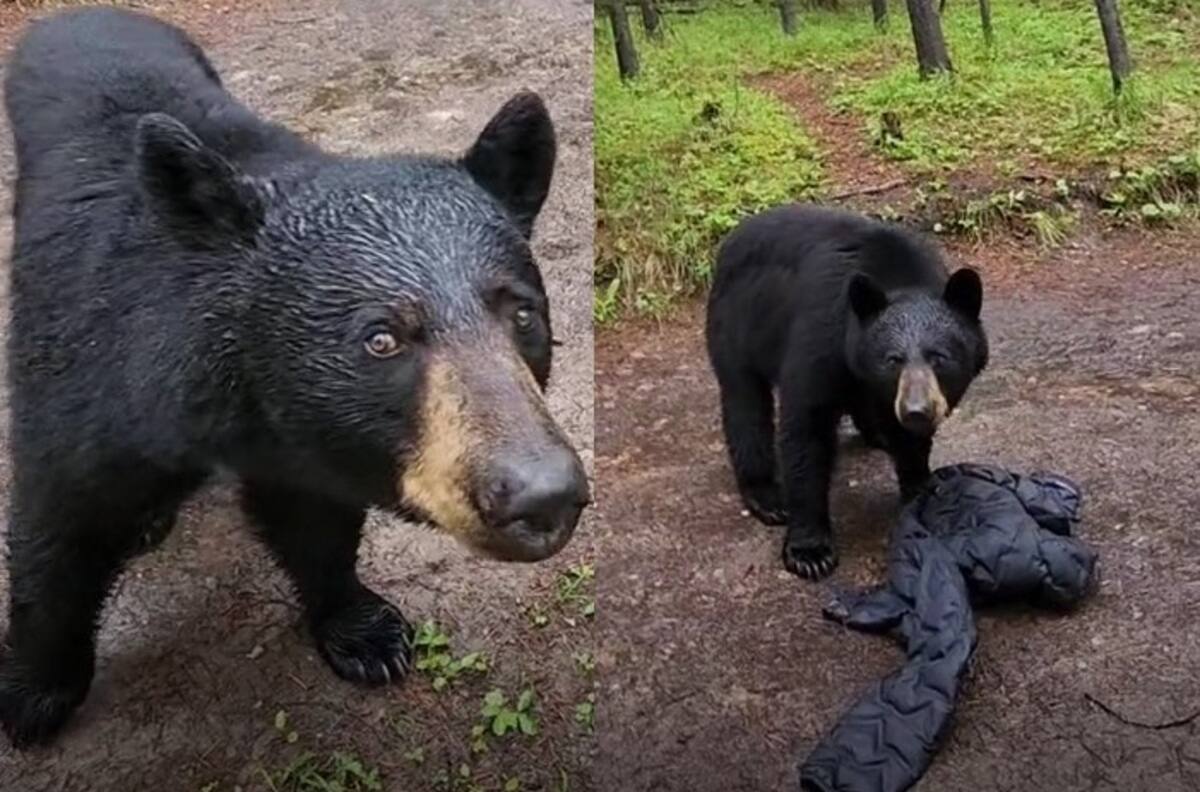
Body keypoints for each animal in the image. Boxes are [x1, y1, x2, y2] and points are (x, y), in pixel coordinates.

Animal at [0, 7, 589, 747]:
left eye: (522, 313)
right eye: (381, 338)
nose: (543, 496)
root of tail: (79, 13)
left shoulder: (304, 438)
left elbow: (315, 525)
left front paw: (364, 631)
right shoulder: (91, 373)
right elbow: (59, 524)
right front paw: (33, 694)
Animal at [705, 205, 987, 580]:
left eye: (938, 357)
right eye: (893, 359)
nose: (916, 410)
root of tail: (731, 239)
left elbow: (909, 441)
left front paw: (920, 485)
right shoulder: (821, 336)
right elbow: (806, 428)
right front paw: (810, 551)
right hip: (736, 326)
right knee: (746, 407)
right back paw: (765, 495)